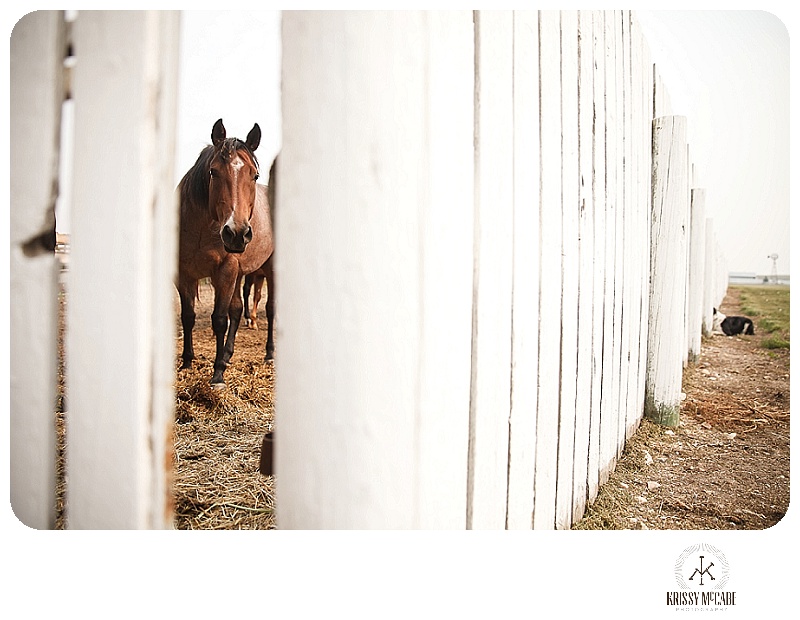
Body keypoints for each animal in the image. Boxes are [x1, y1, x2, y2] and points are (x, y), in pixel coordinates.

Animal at [176, 118, 274, 386]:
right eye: (213, 172)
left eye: (255, 175)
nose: (237, 233)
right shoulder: (184, 275)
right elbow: (188, 316)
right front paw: (187, 363)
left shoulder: (225, 271)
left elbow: (219, 319)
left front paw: (218, 374)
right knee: (238, 310)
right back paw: (229, 354)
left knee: (270, 309)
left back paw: (269, 353)